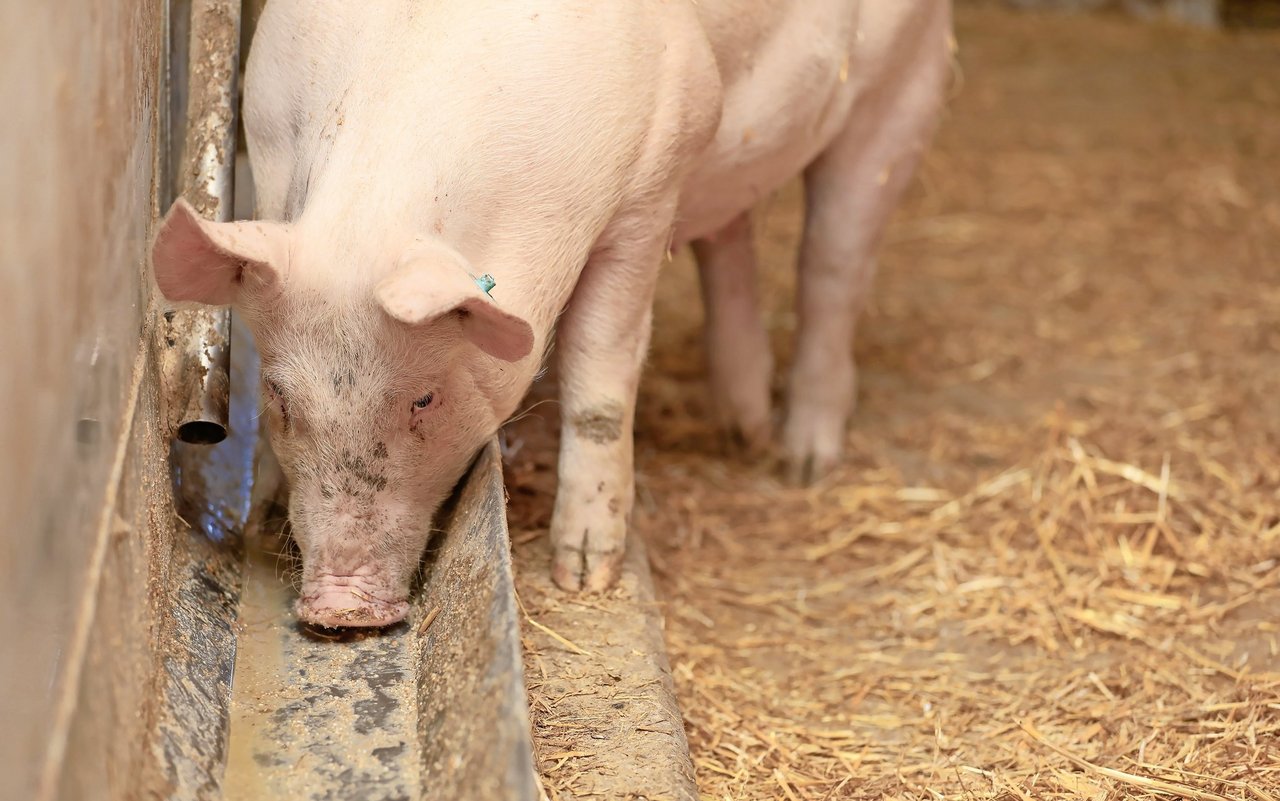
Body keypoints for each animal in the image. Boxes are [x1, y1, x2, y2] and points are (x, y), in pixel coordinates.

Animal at [149, 0, 952, 624]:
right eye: (280, 396)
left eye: (424, 397)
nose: (339, 606)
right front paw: (266, 516)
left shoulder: (651, 184)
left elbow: (601, 379)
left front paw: (584, 575)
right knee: (732, 234)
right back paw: (742, 430)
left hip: (905, 82)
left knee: (833, 264)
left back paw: (801, 461)